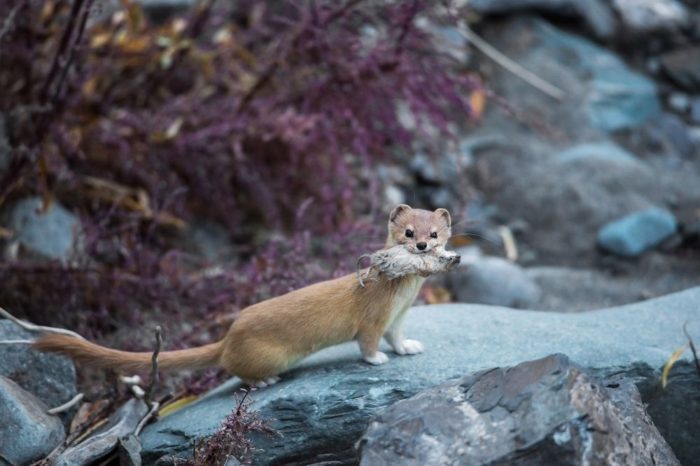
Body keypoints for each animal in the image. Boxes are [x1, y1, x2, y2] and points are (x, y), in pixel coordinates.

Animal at [35, 204, 454, 386]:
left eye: (434, 234)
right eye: (408, 232)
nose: (420, 246)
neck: (400, 298)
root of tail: (228, 337)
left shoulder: (398, 317)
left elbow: (397, 337)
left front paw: (409, 348)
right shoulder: (372, 318)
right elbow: (367, 342)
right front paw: (377, 359)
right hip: (265, 356)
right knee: (234, 370)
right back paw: (263, 382)